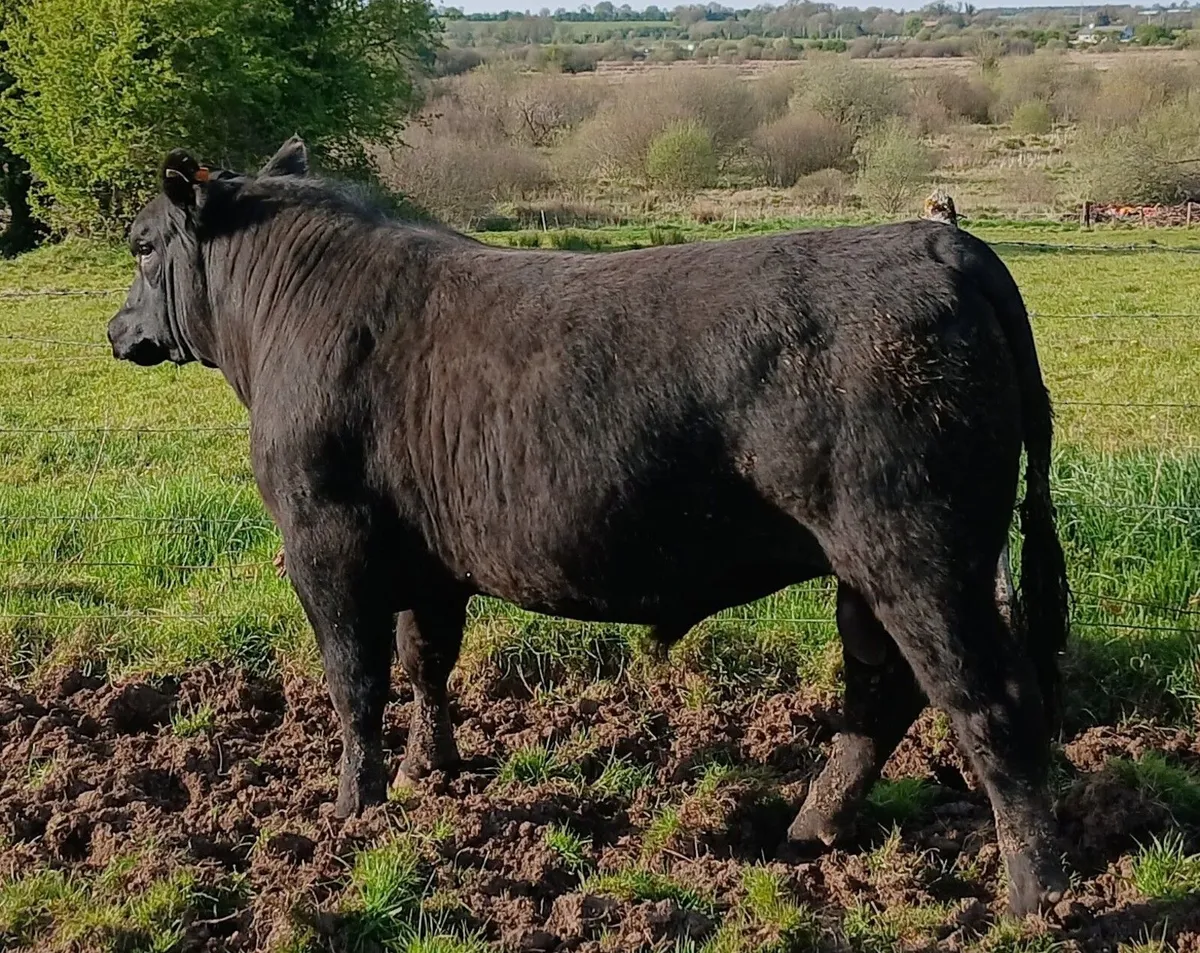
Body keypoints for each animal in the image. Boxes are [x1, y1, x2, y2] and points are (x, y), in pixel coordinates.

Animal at [108, 138, 1070, 916]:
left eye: (143, 245)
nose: (117, 329)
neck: (292, 312)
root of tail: (943, 244)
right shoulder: (426, 559)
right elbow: (426, 662)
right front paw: (429, 771)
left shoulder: (324, 542)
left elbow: (355, 681)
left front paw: (352, 808)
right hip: (867, 573)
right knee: (881, 694)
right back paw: (811, 827)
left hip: (918, 558)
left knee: (990, 702)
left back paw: (1033, 896)